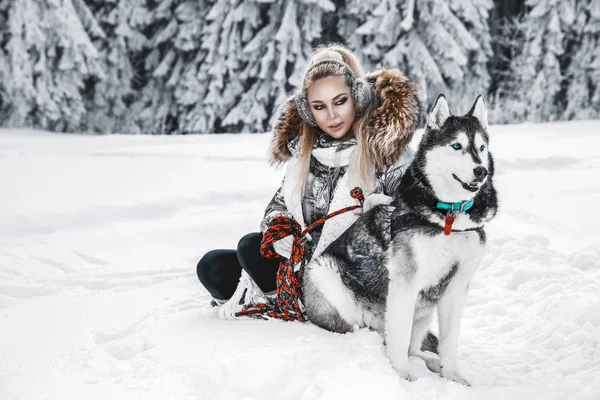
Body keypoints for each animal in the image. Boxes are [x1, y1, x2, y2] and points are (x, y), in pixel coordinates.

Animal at [304, 94, 496, 384]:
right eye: (457, 145)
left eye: (482, 147)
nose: (480, 171)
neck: (449, 217)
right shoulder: (405, 285)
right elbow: (400, 336)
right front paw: (402, 373)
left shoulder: (456, 287)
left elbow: (449, 341)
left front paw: (452, 375)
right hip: (327, 279)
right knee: (367, 332)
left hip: (424, 312)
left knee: (414, 348)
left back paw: (430, 362)